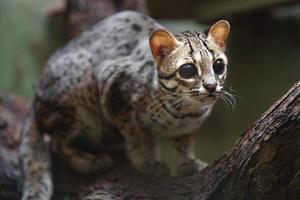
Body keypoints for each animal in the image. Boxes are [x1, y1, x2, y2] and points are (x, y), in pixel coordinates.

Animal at [19, 10, 231, 200]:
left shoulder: (189, 128)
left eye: (219, 66)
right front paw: (147, 163)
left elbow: (184, 144)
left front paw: (188, 163)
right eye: (187, 70)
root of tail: (35, 96)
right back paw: (91, 161)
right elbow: (137, 137)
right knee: (55, 144)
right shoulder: (115, 93)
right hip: (79, 100)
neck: (185, 113)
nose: (211, 86)